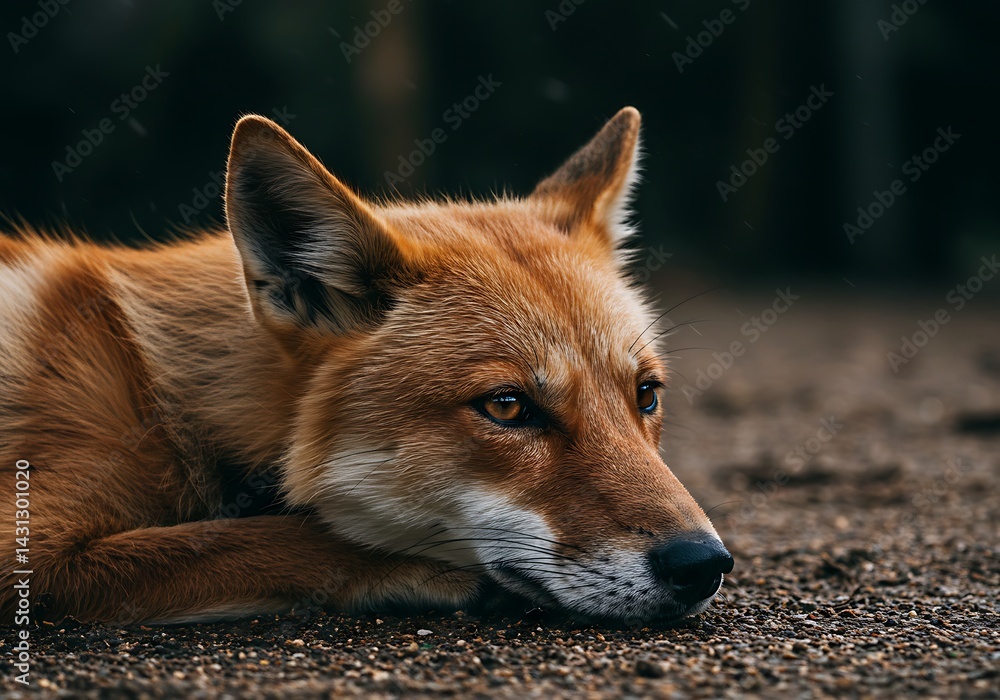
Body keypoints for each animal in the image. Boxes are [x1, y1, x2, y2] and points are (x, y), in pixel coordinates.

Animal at [0, 107, 733, 626]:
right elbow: (274, 538)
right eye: (506, 406)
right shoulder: (31, 539)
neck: (161, 393)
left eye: (646, 394)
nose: (704, 564)